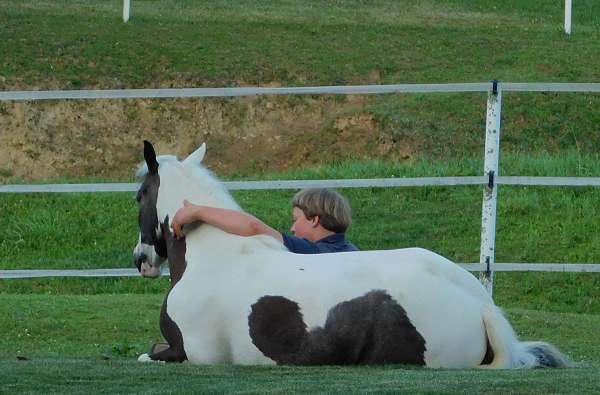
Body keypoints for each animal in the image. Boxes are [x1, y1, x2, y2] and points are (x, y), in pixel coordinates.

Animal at [132, 142, 568, 372]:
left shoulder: (193, 354)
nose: (141, 259)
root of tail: (479, 305)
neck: (216, 257)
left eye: (140, 195)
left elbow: (146, 353)